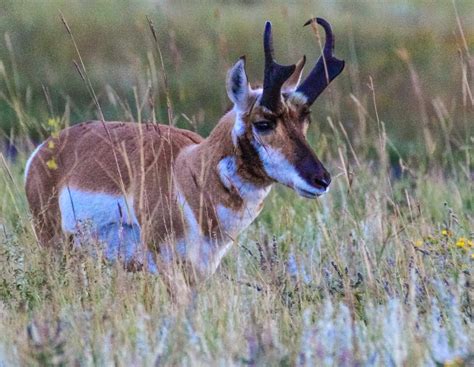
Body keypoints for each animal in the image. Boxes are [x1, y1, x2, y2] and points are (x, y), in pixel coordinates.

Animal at [25, 17, 344, 294]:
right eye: (263, 123)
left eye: (304, 120)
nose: (321, 180)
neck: (189, 168)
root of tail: (45, 150)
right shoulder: (169, 267)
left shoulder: (200, 271)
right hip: (54, 248)